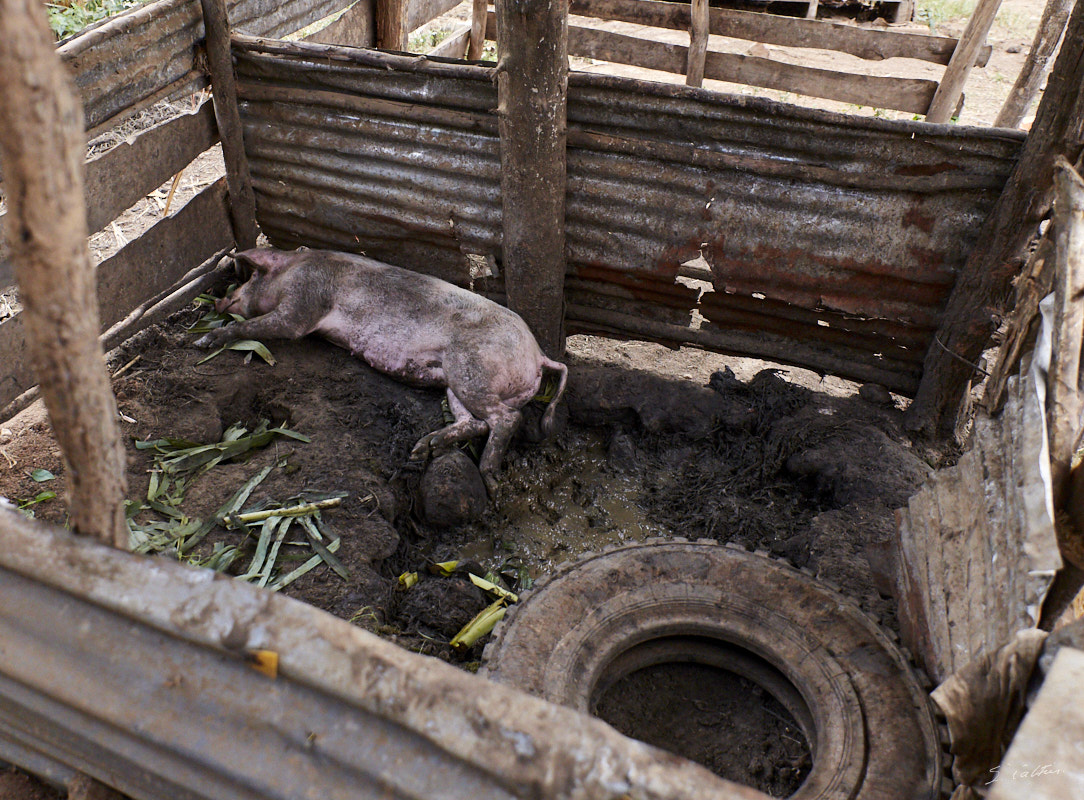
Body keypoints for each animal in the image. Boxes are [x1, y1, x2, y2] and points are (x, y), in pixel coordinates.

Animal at [195, 246, 568, 492]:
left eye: (252, 277)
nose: (220, 299)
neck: (296, 266)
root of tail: (538, 355)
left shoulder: (304, 302)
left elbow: (263, 326)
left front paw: (204, 342)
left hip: (471, 369)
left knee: (506, 419)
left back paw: (489, 477)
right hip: (456, 381)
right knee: (475, 422)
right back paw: (424, 448)